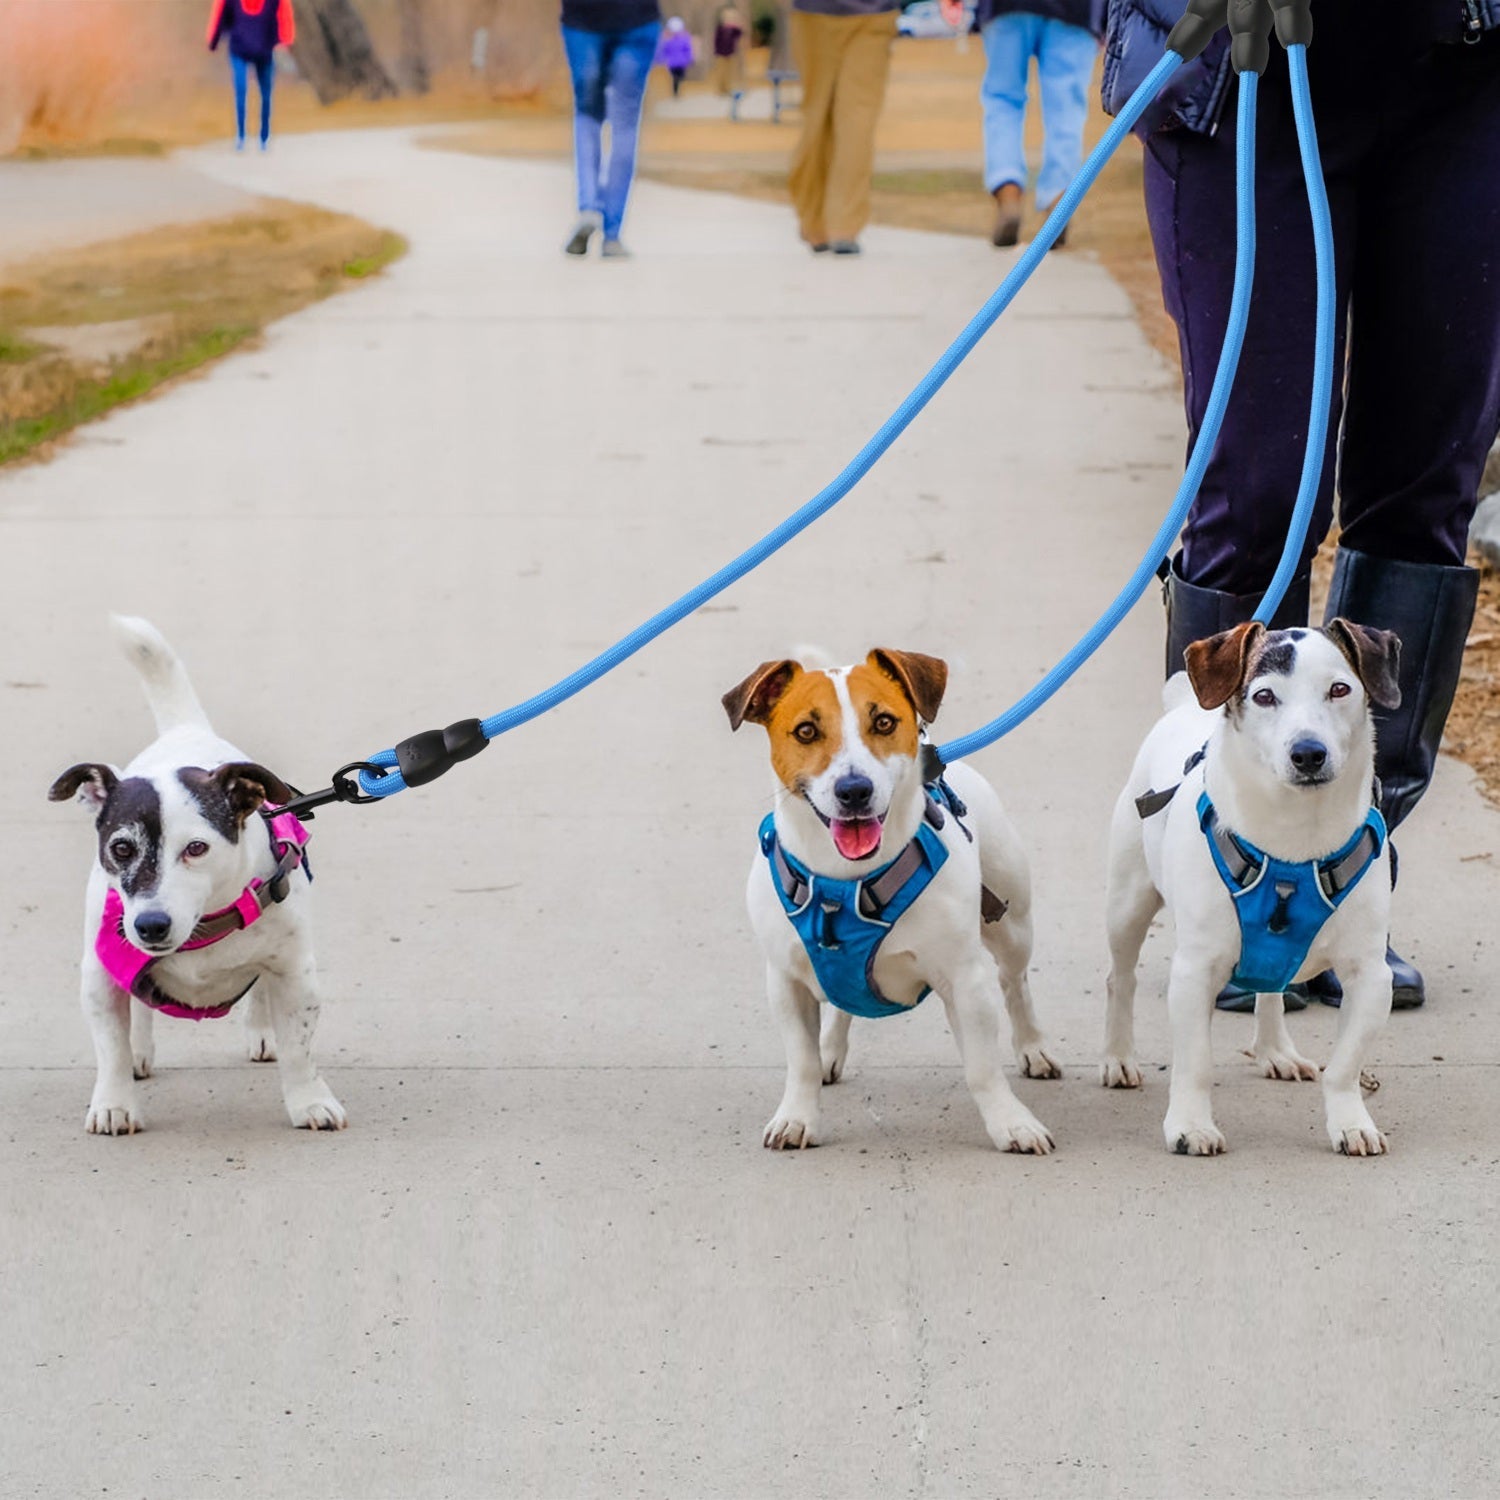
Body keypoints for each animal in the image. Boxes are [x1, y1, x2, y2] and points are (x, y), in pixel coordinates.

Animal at [49, 618, 345, 1134]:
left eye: (196, 848)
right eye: (121, 848)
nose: (151, 925)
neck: (203, 926)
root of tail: (186, 730)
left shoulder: (295, 973)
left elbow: (300, 1050)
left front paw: (310, 1101)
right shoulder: (101, 977)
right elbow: (111, 1049)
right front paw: (114, 1103)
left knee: (260, 994)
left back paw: (261, 1033)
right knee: (137, 1013)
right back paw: (140, 1052)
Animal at [723, 651, 1056, 1152]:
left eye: (883, 721)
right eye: (806, 731)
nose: (854, 790)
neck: (848, 883)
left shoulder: (966, 982)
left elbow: (982, 1068)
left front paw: (1011, 1122)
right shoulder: (786, 982)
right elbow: (800, 1062)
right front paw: (797, 1115)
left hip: (1012, 924)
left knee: (1015, 983)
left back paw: (1033, 1045)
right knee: (841, 1003)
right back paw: (829, 1050)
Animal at [1104, 615, 1404, 1152]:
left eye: (1340, 689)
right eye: (1264, 696)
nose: (1308, 753)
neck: (1293, 840)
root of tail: (1183, 707)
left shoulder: (1371, 976)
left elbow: (1345, 1066)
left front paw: (1352, 1122)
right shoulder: (1195, 970)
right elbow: (1195, 1063)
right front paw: (1191, 1125)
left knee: (1271, 987)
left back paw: (1275, 1050)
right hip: (1127, 903)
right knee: (1120, 978)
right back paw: (1118, 1057)